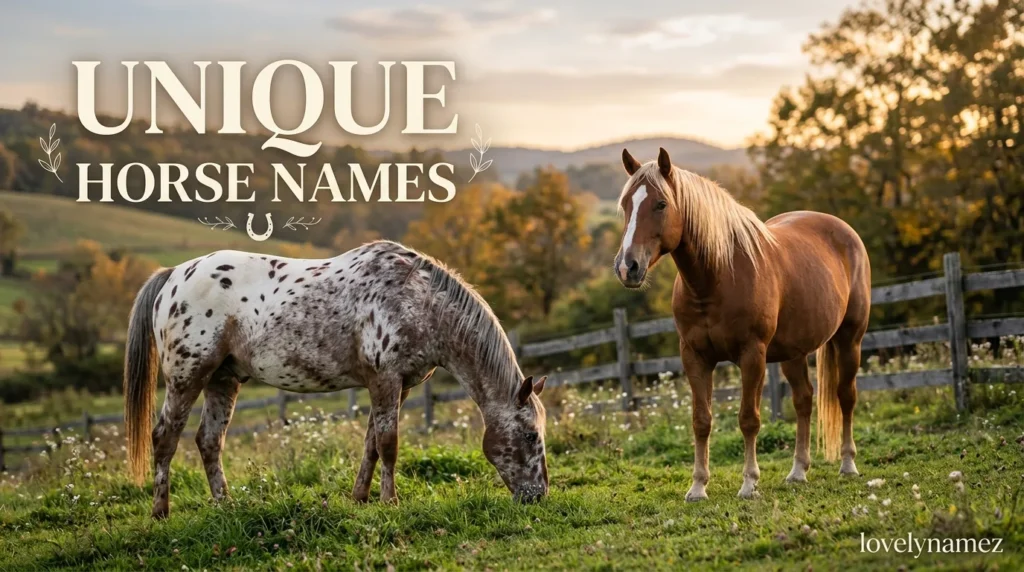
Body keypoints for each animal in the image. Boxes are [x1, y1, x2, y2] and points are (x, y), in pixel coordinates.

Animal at [123, 240, 548, 518]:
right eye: (531, 436)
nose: (539, 495)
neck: (418, 299)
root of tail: (173, 276)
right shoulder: (385, 380)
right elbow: (389, 444)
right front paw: (390, 502)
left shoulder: (398, 385)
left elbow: (372, 444)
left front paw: (360, 497)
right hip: (187, 377)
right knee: (165, 438)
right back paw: (160, 512)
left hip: (222, 380)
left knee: (209, 441)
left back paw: (224, 504)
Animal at [614, 148, 871, 501]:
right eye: (626, 204)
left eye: (661, 204)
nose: (627, 267)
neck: (717, 277)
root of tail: (845, 231)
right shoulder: (694, 356)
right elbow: (701, 420)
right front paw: (698, 486)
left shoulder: (752, 355)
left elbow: (749, 418)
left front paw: (749, 483)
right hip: (793, 353)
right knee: (804, 400)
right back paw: (798, 471)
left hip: (849, 340)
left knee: (846, 395)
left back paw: (848, 464)